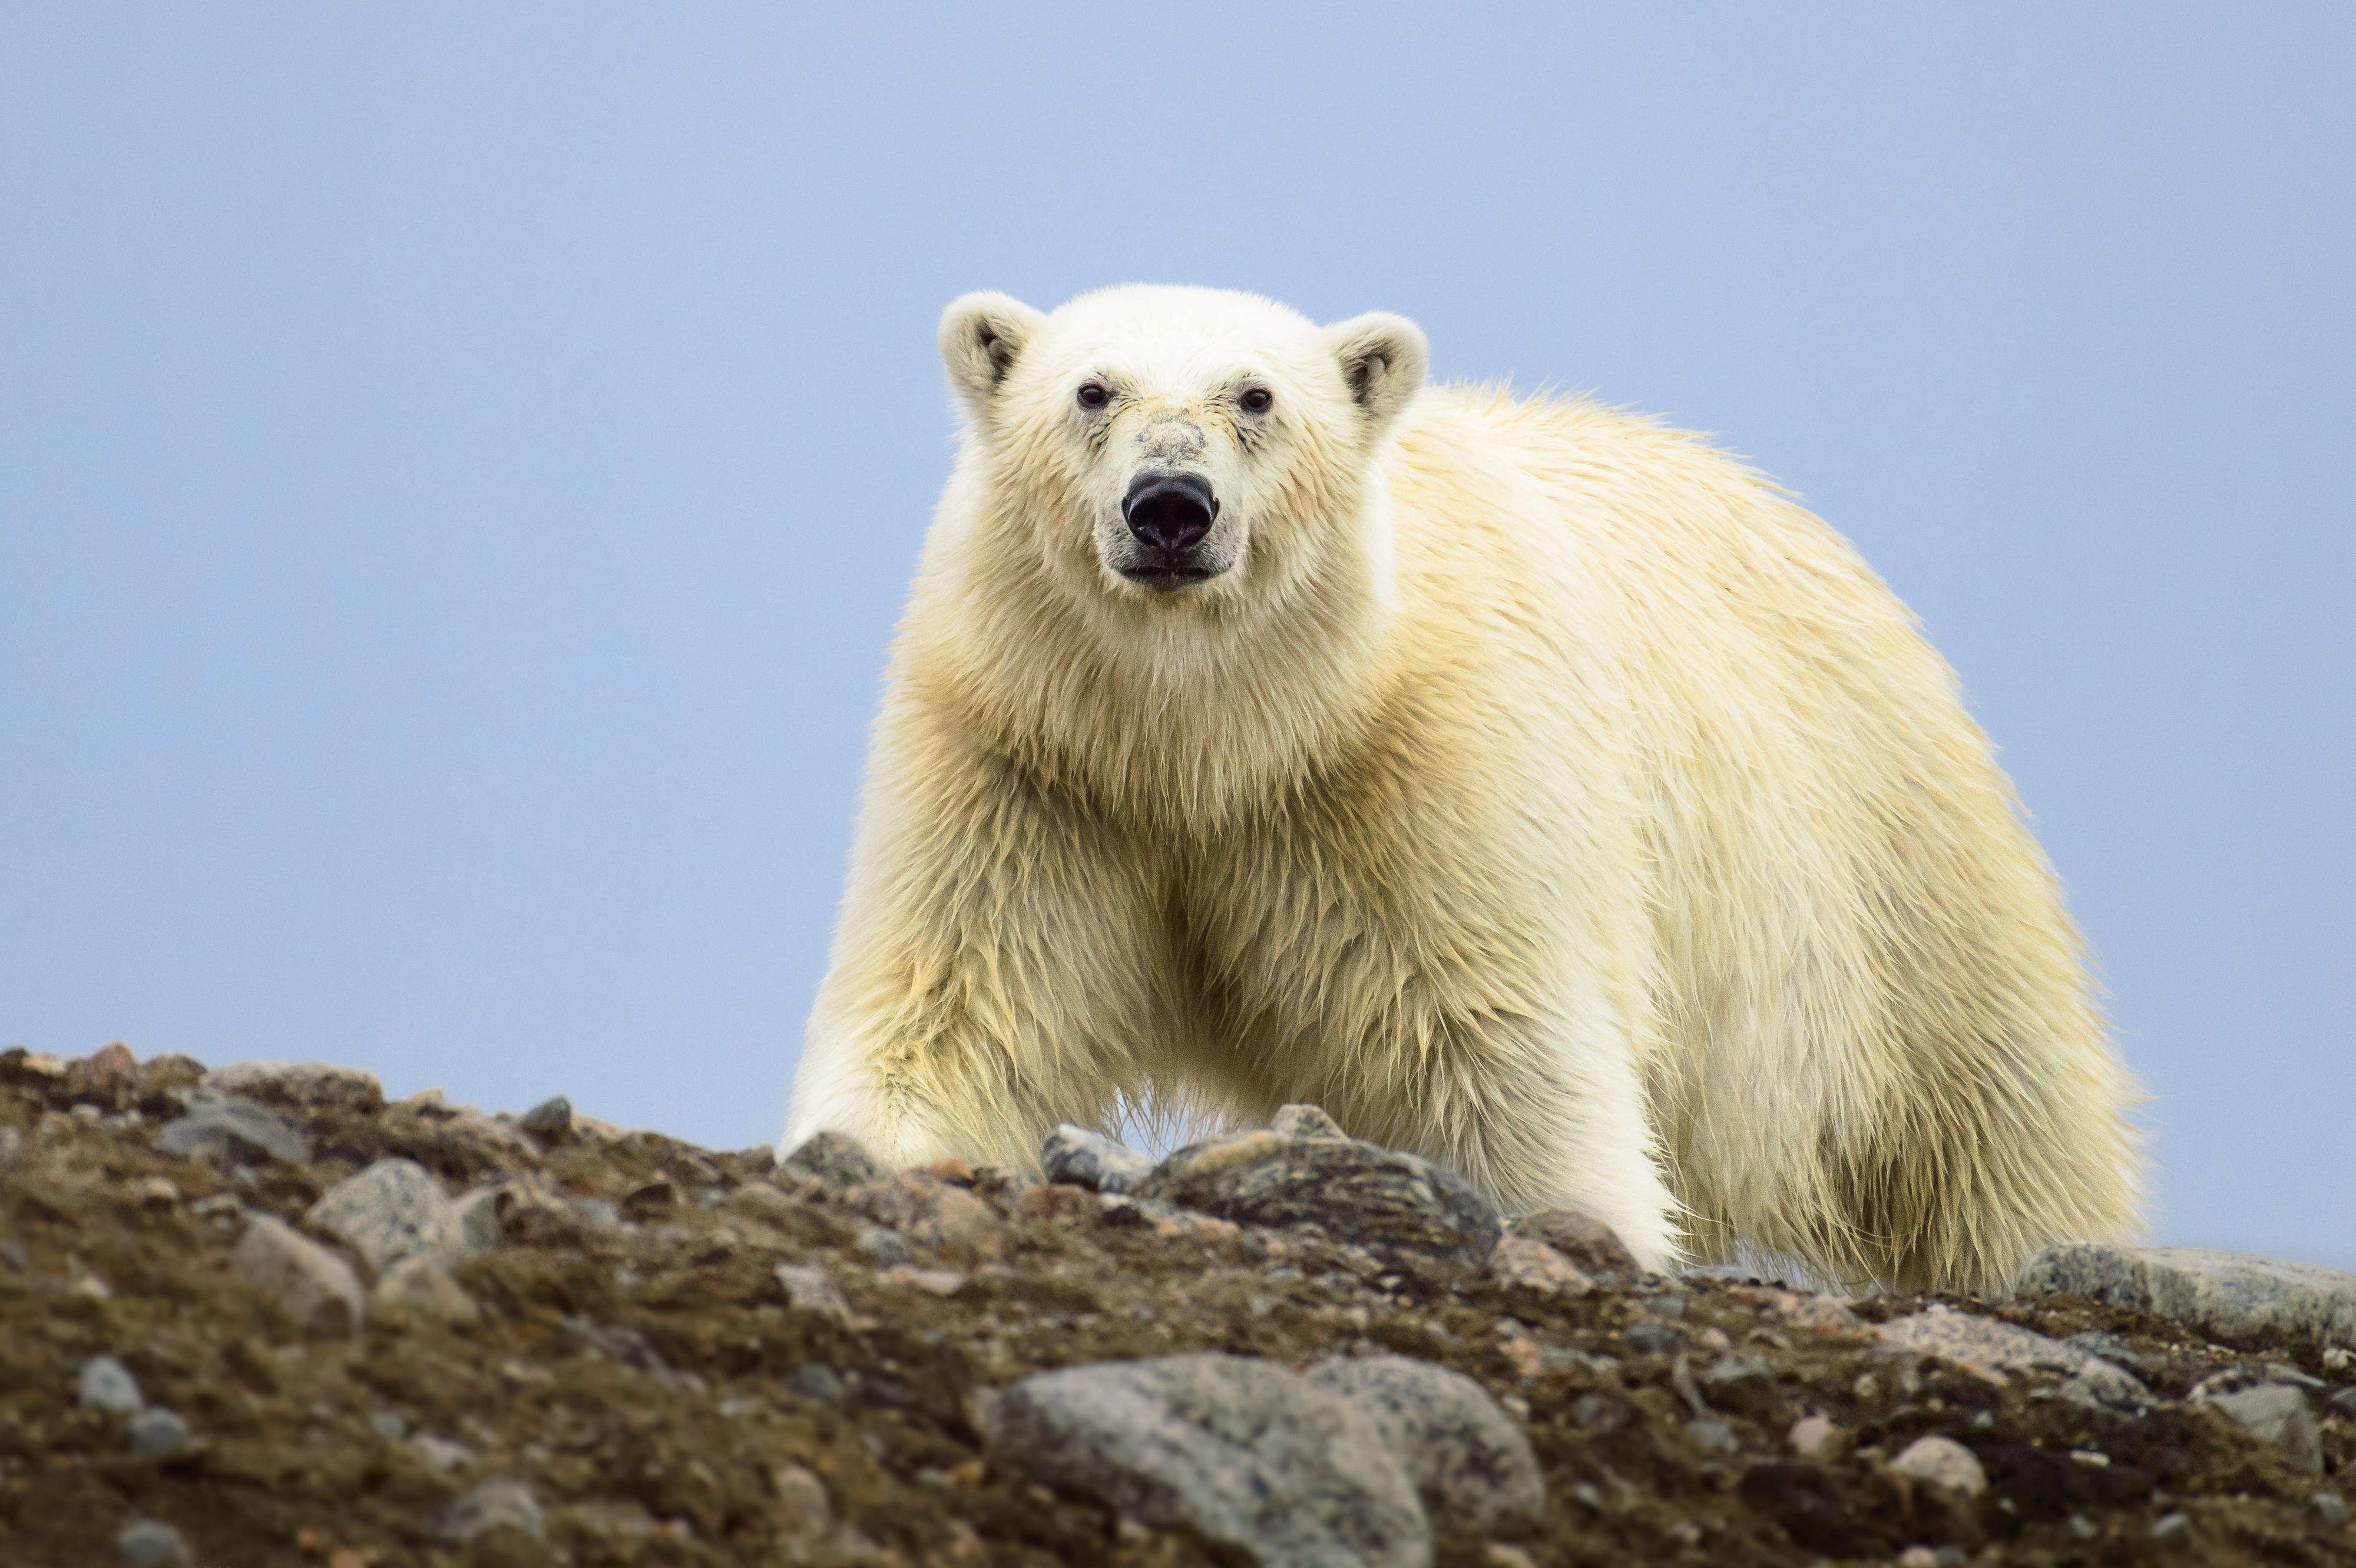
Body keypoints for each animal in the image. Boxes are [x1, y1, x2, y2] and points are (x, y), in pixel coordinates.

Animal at [783, 283, 2142, 1291]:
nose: (1170, 506)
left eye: (1256, 395)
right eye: (1091, 389)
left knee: (1991, 1111)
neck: (1214, 739)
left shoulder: (1417, 773)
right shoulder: (1030, 766)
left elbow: (1499, 1045)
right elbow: (955, 1004)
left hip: (1884, 854)